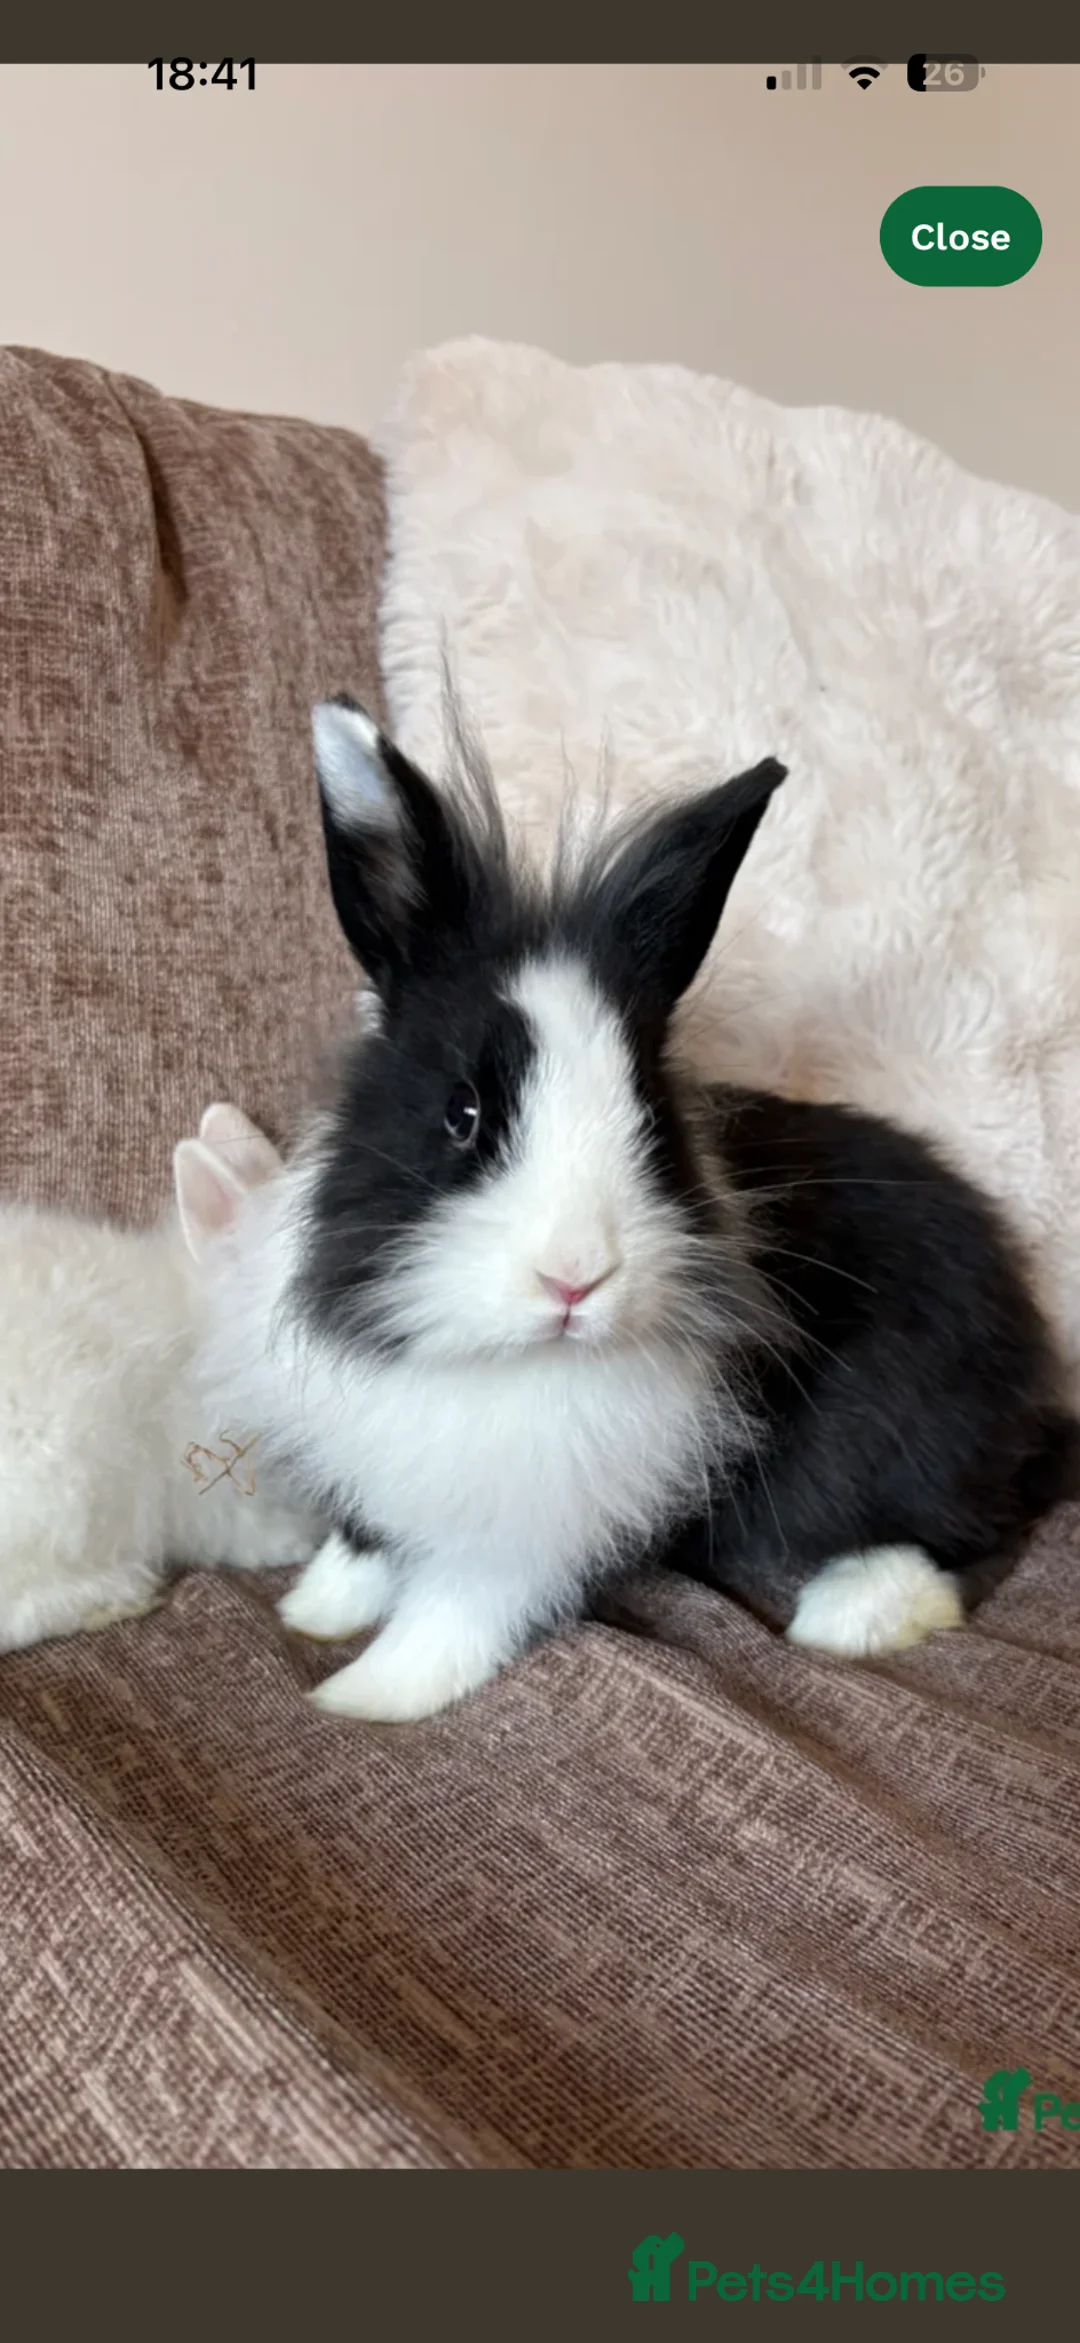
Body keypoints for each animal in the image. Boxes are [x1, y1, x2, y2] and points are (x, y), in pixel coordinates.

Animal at [197, 695, 1080, 1722]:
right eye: (463, 1113)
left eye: (651, 1119)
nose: (575, 1278)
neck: (502, 1362)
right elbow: (368, 1533)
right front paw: (316, 1609)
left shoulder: (527, 1522)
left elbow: (461, 1603)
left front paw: (364, 1695)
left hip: (896, 1441)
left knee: (983, 1527)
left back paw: (854, 1611)